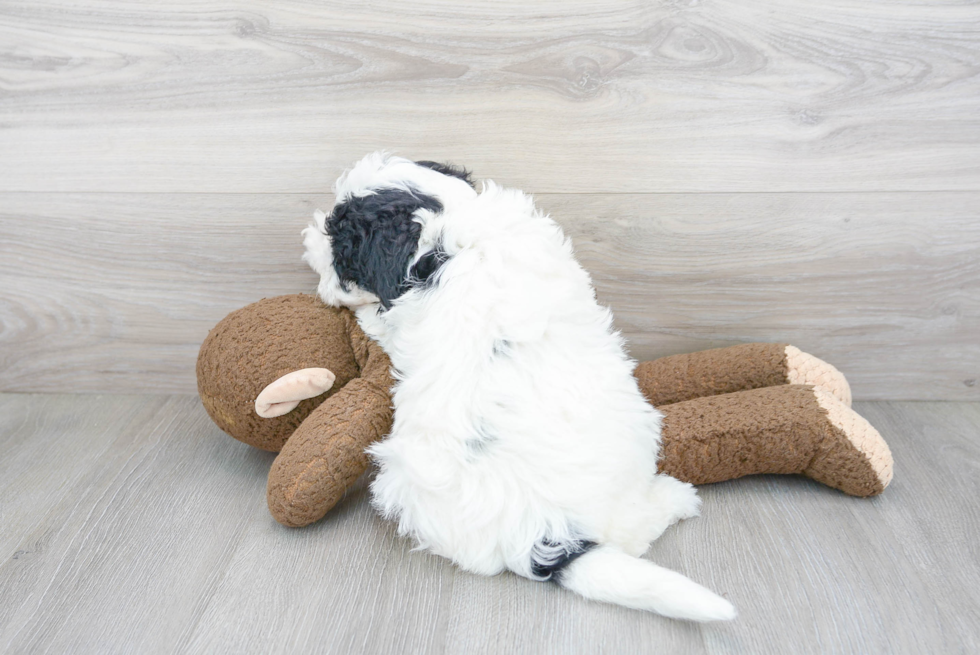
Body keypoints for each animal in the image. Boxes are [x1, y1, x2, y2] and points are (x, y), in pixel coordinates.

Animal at [302, 152, 740, 620]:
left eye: (339, 243)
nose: (309, 242)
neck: (450, 224)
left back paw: (676, 498)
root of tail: (543, 533)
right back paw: (676, 499)